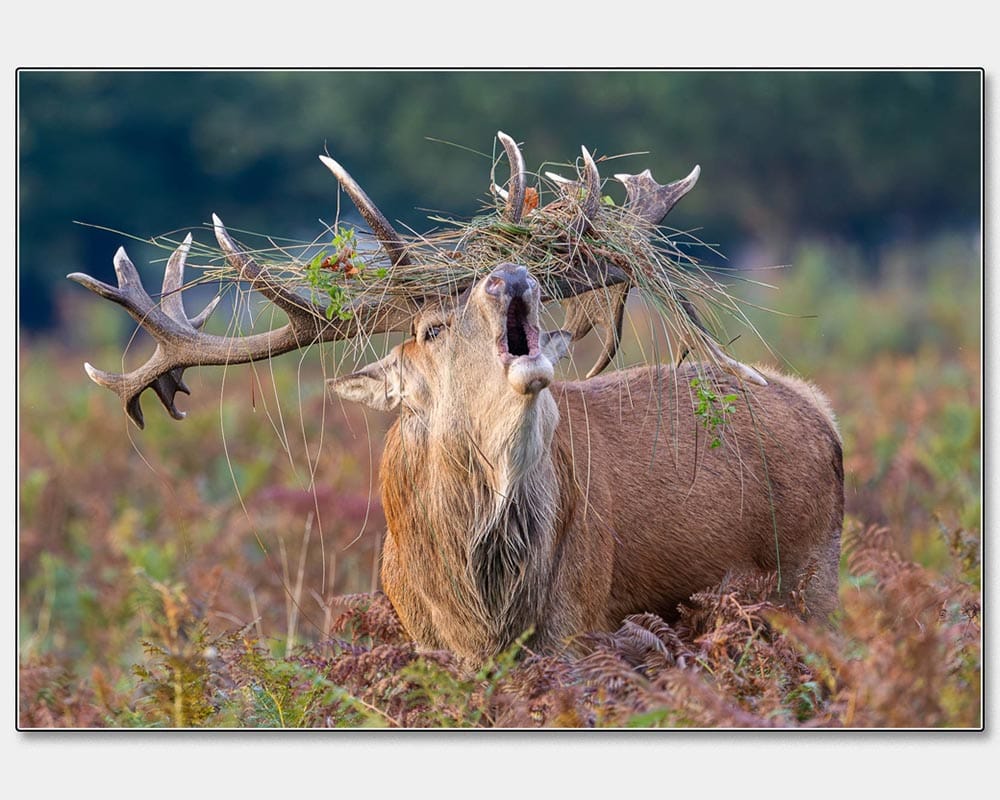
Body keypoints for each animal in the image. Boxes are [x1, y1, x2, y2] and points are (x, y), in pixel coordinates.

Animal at [69, 132, 844, 665]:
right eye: (430, 328)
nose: (512, 273)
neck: (485, 609)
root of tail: (822, 410)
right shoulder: (427, 638)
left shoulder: (582, 620)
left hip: (811, 578)